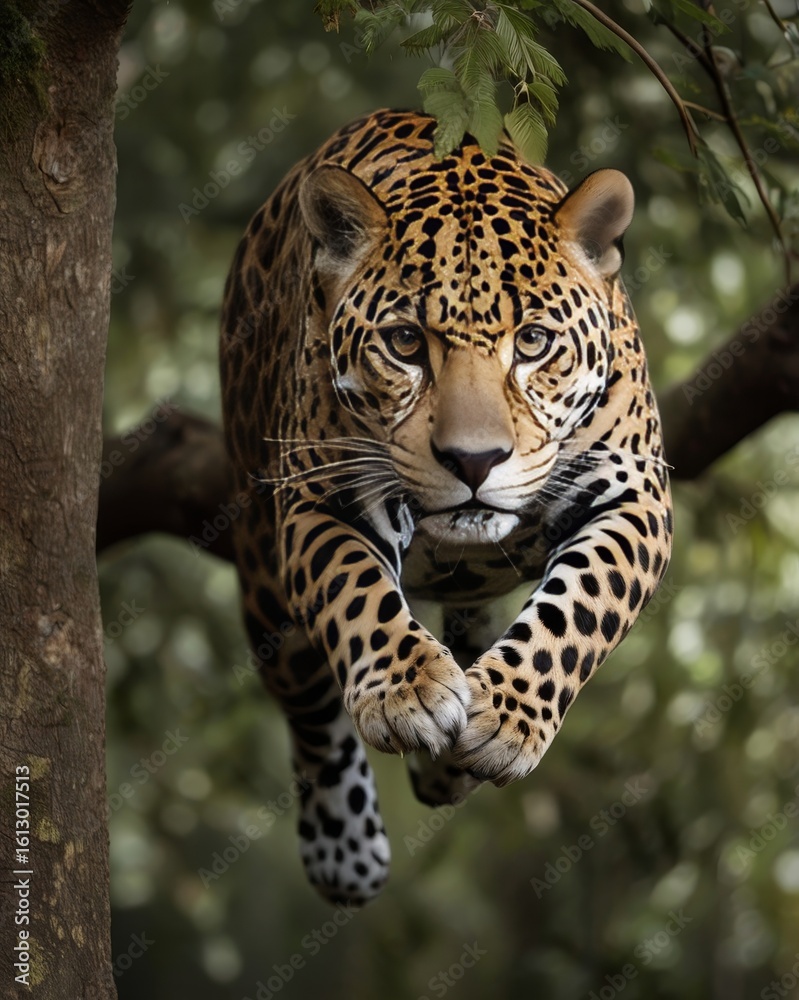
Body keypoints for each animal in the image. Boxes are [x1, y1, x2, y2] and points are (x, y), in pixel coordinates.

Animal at [219, 108, 673, 905]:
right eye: (404, 342)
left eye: (534, 342)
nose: (473, 461)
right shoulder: (322, 499)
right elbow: (357, 592)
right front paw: (409, 693)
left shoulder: (630, 494)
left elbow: (578, 605)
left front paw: (505, 716)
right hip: (260, 568)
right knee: (307, 709)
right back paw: (345, 846)